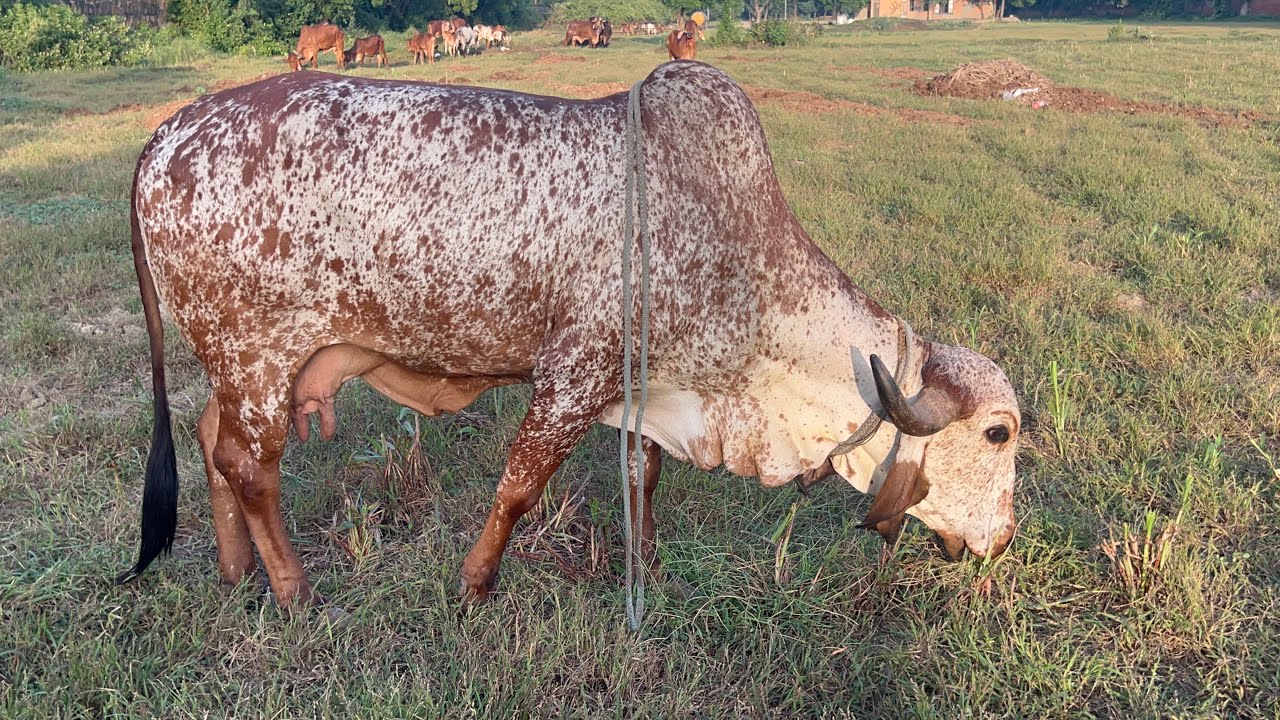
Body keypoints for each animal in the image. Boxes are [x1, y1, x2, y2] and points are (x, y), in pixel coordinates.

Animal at [119, 62, 1021, 613]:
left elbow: (643, 475)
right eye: (999, 433)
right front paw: (474, 585)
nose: (1004, 538)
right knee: (249, 465)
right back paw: (294, 588)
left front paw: (645, 564)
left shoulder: (645, 386)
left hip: (243, 367)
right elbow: (519, 487)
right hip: (257, 353)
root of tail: (167, 133)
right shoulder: (575, 374)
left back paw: (237, 570)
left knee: (210, 439)